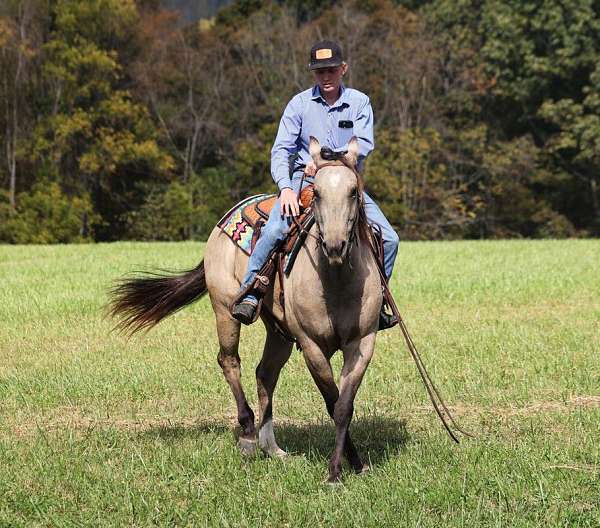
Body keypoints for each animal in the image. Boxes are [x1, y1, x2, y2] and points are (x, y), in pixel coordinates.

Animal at [109, 138, 384, 484]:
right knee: (230, 361)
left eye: (353, 191)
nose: (335, 245)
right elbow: (332, 401)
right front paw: (336, 471)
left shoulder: (362, 343)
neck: (335, 281)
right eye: (318, 193)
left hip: (279, 331)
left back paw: (272, 448)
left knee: (265, 373)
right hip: (225, 310)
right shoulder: (311, 346)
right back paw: (249, 435)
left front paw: (354, 463)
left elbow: (344, 406)